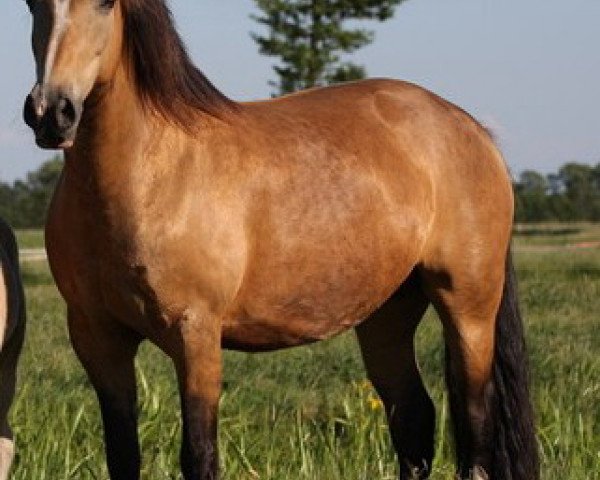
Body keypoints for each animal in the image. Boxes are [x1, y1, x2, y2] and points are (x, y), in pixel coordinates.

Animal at [22, 0, 540, 480]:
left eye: (105, 4)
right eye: (32, 5)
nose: (51, 112)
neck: (154, 173)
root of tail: (471, 130)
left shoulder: (196, 335)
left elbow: (200, 456)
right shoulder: (98, 337)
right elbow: (122, 457)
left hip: (468, 308)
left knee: (475, 431)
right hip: (387, 314)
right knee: (413, 419)